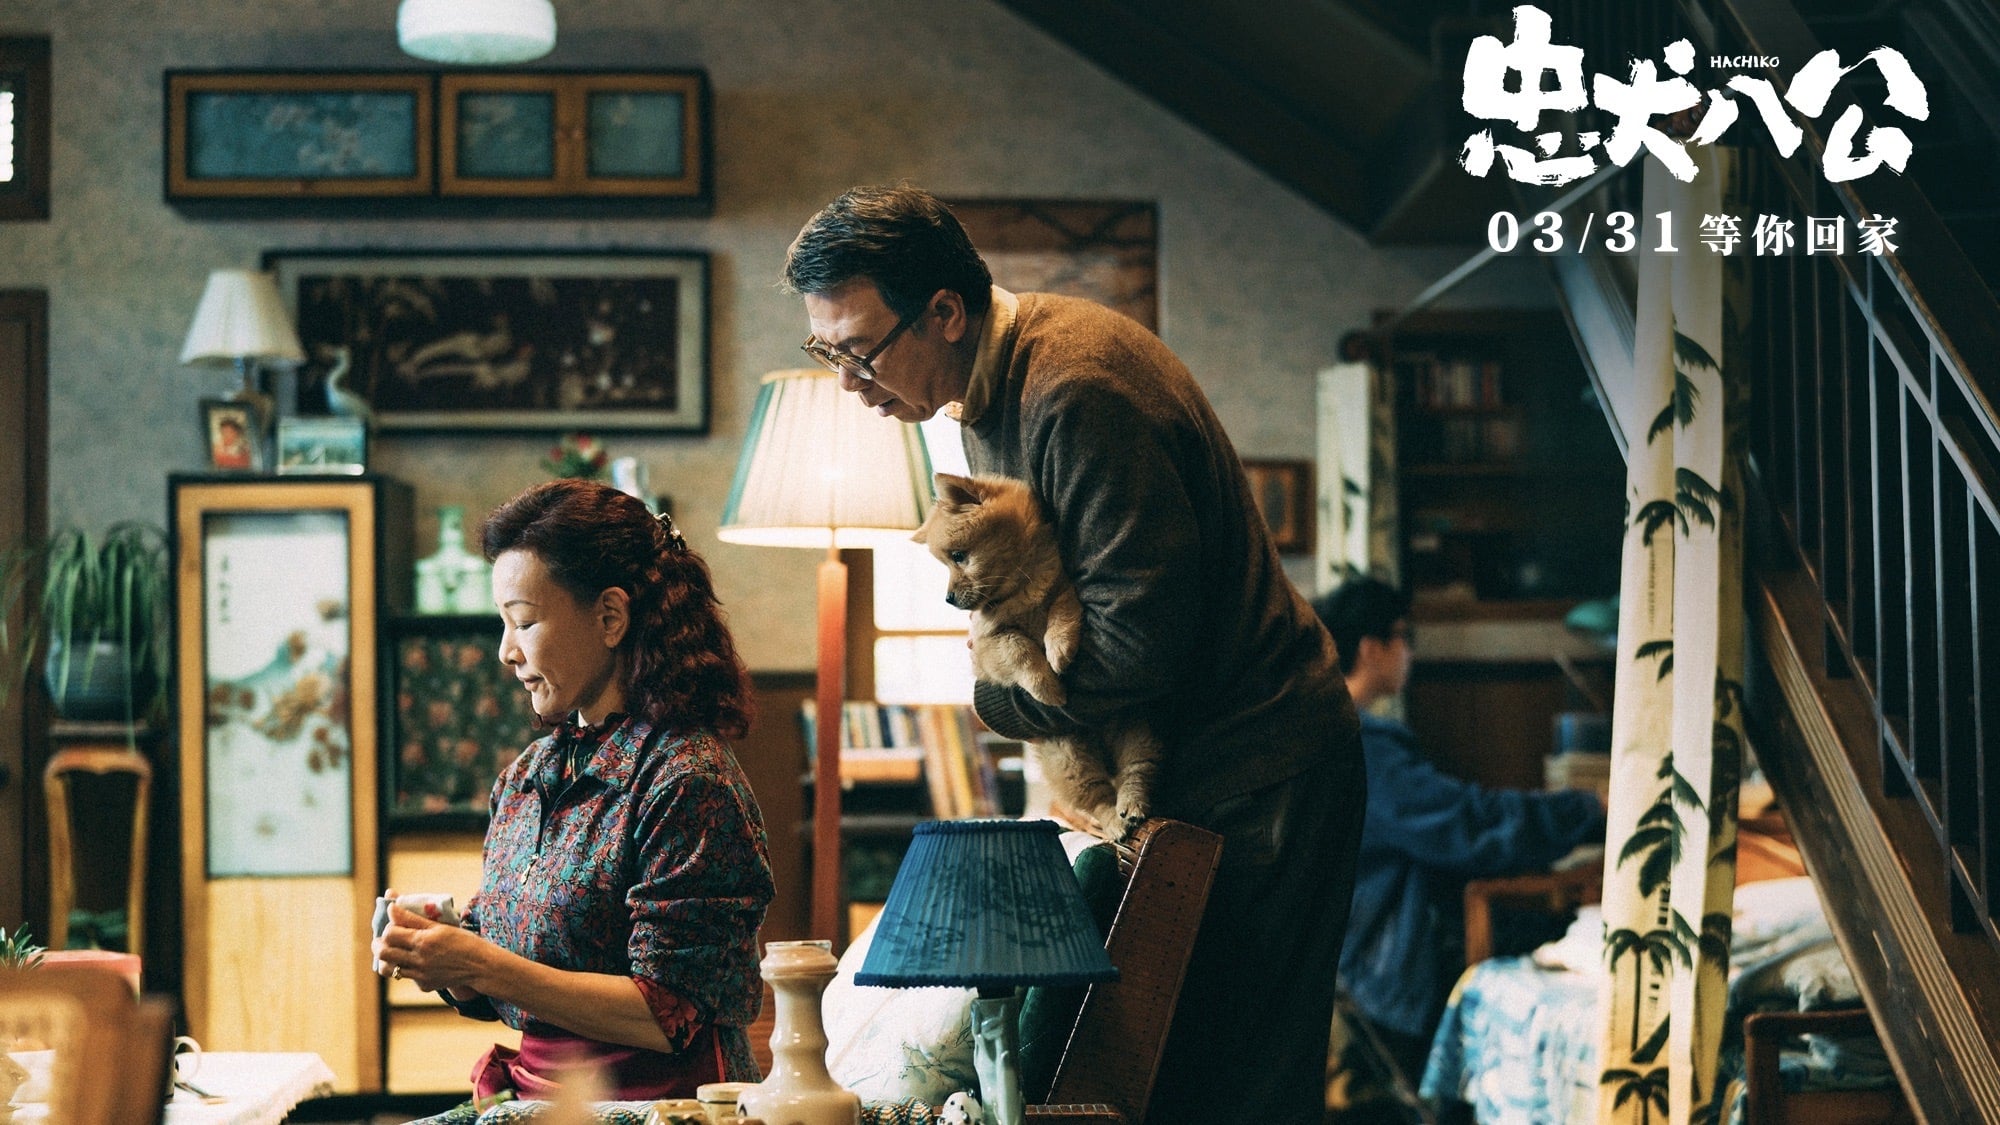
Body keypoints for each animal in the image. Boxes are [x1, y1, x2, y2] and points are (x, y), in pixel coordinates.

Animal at [911, 471, 1161, 841]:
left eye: (958, 556)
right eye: (946, 561)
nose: (949, 598)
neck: (1018, 587)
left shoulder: (1064, 589)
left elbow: (1062, 612)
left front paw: (1059, 648)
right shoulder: (988, 647)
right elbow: (1019, 649)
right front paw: (1047, 687)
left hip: (1135, 732)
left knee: (1136, 772)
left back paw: (1131, 806)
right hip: (1068, 757)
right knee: (1097, 797)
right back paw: (1116, 820)